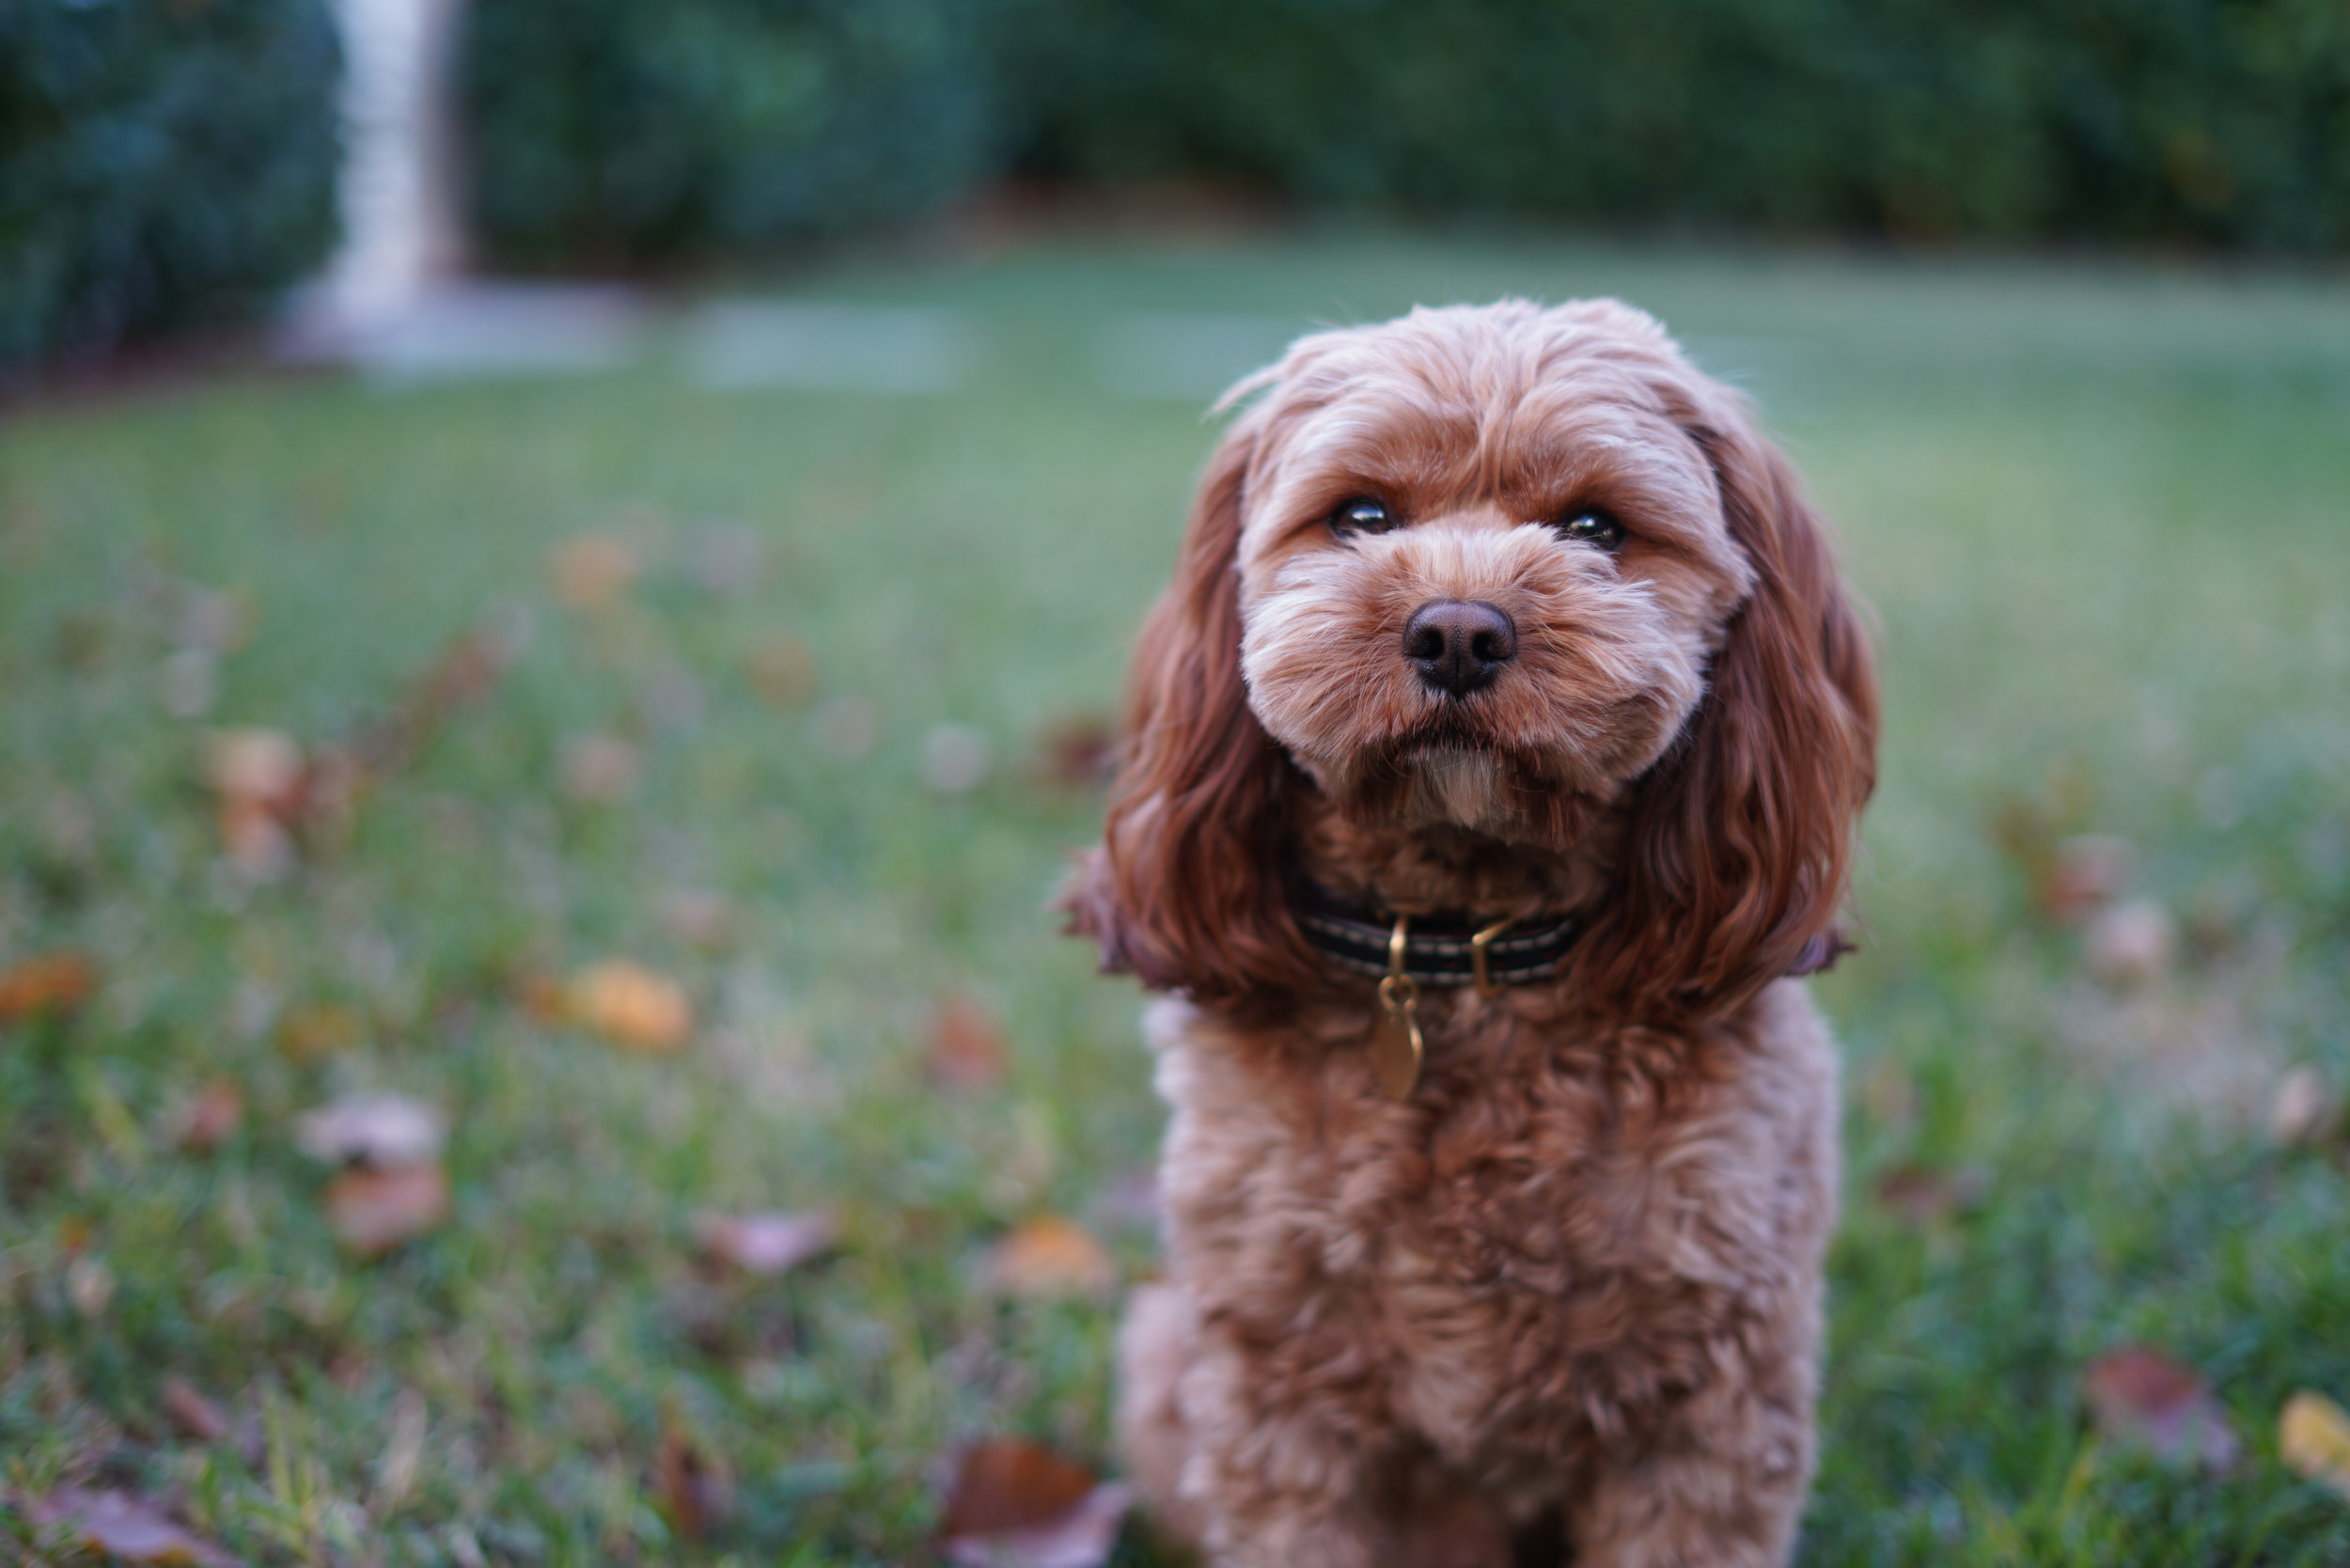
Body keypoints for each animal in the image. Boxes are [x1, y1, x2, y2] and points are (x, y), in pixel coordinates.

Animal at [1076, 301, 1880, 1560]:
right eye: (1361, 516)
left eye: (1595, 527)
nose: (1456, 632)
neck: (1464, 951)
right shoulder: (1277, 1396)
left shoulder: (1711, 1409)